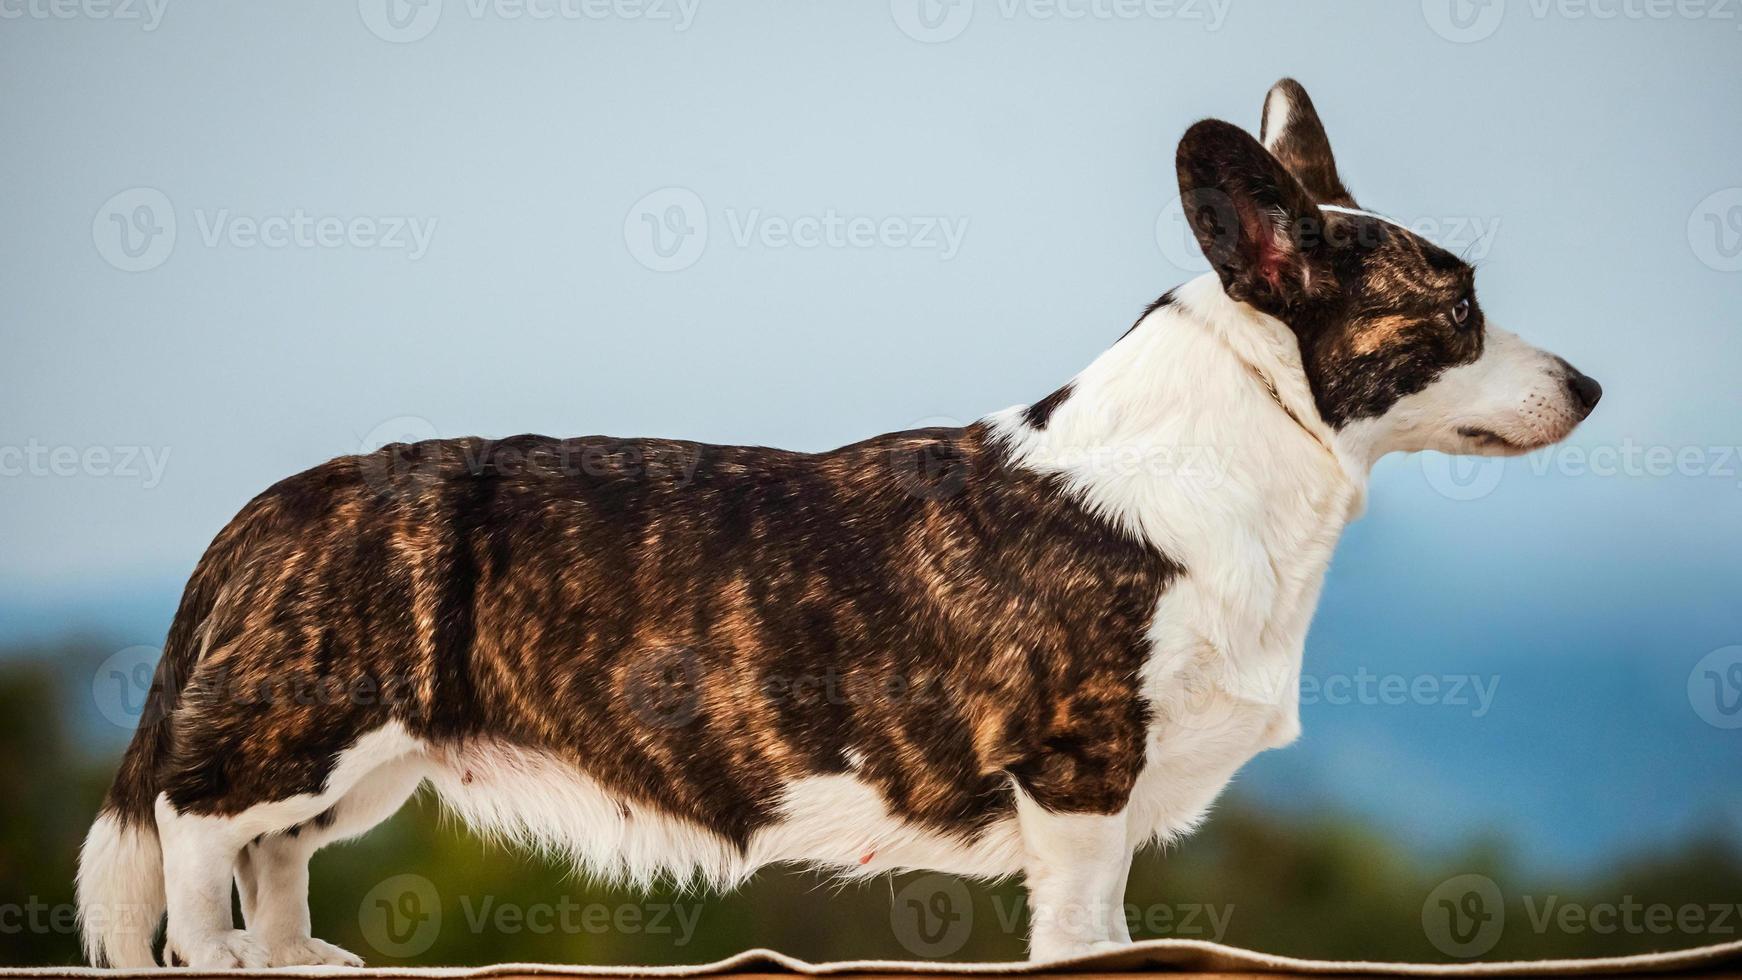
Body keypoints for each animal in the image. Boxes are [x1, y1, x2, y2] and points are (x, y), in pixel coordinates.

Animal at [78, 78, 1602, 967]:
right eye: (1457, 303)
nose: (1590, 387)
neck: (1235, 447)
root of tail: (279, 501)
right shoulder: (1077, 779)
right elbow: (1082, 933)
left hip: (363, 762)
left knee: (273, 858)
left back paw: (294, 958)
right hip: (304, 729)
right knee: (200, 833)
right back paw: (218, 957)